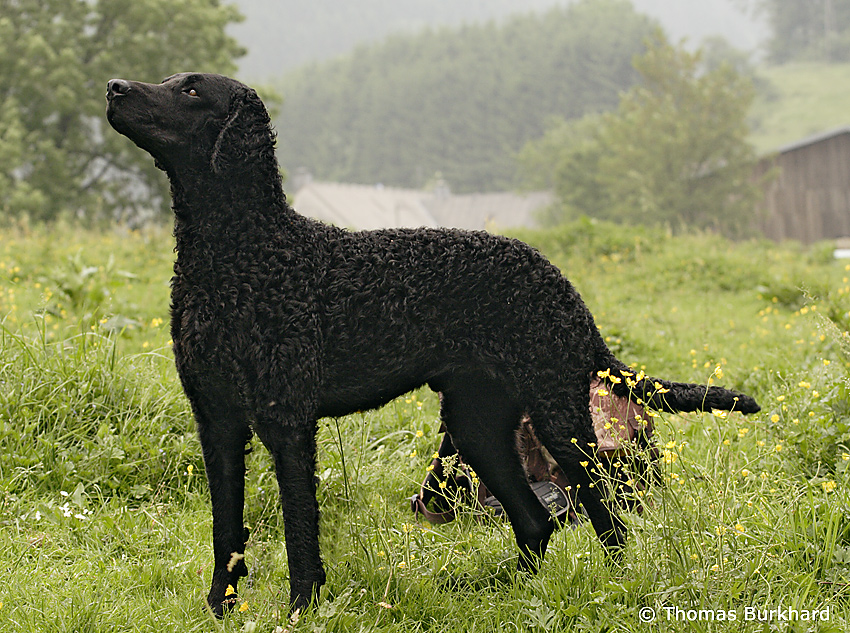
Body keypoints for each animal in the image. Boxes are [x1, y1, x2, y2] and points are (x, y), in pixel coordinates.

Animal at [106, 71, 760, 616]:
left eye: (192, 90)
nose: (114, 87)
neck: (243, 253)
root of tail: (563, 286)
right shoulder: (216, 421)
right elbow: (227, 529)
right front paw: (219, 608)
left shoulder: (287, 420)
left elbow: (298, 526)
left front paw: (301, 609)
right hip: (478, 423)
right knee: (535, 523)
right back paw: (498, 592)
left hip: (556, 416)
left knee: (606, 516)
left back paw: (618, 588)